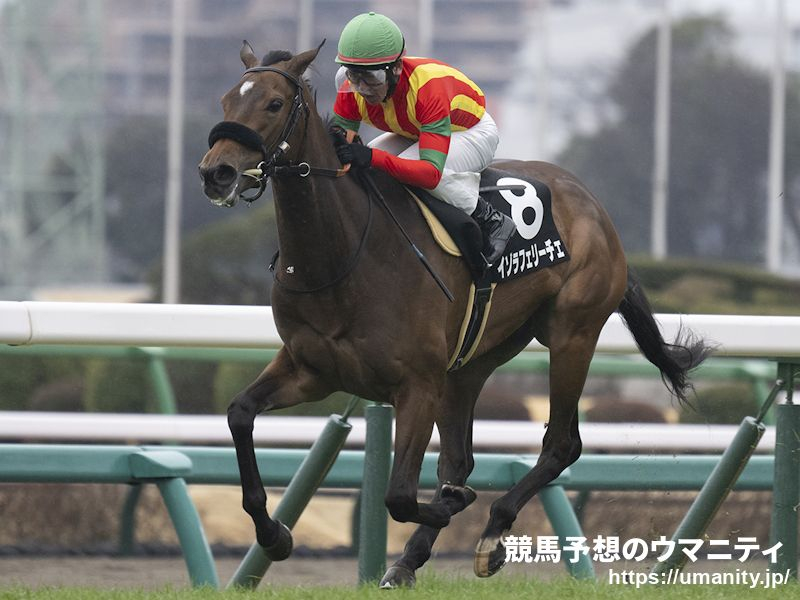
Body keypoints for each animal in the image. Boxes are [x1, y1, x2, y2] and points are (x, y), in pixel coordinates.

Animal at [197, 44, 708, 588]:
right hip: (471, 362)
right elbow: (239, 414)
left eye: (273, 104)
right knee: (462, 457)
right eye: (227, 99)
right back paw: (408, 559)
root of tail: (590, 202)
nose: (216, 172)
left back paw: (491, 533)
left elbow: (400, 495)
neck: (344, 255)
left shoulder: (417, 385)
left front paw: (451, 506)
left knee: (561, 444)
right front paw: (274, 534)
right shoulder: (310, 369)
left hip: (572, 334)